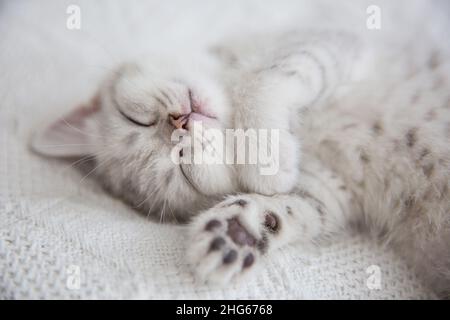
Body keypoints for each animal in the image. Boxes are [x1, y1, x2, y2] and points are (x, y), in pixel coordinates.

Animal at [31, 30, 450, 298]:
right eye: (183, 169)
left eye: (133, 117)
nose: (179, 124)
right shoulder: (332, 184)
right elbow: (291, 208)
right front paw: (233, 234)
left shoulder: (327, 43)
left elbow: (264, 80)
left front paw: (267, 153)